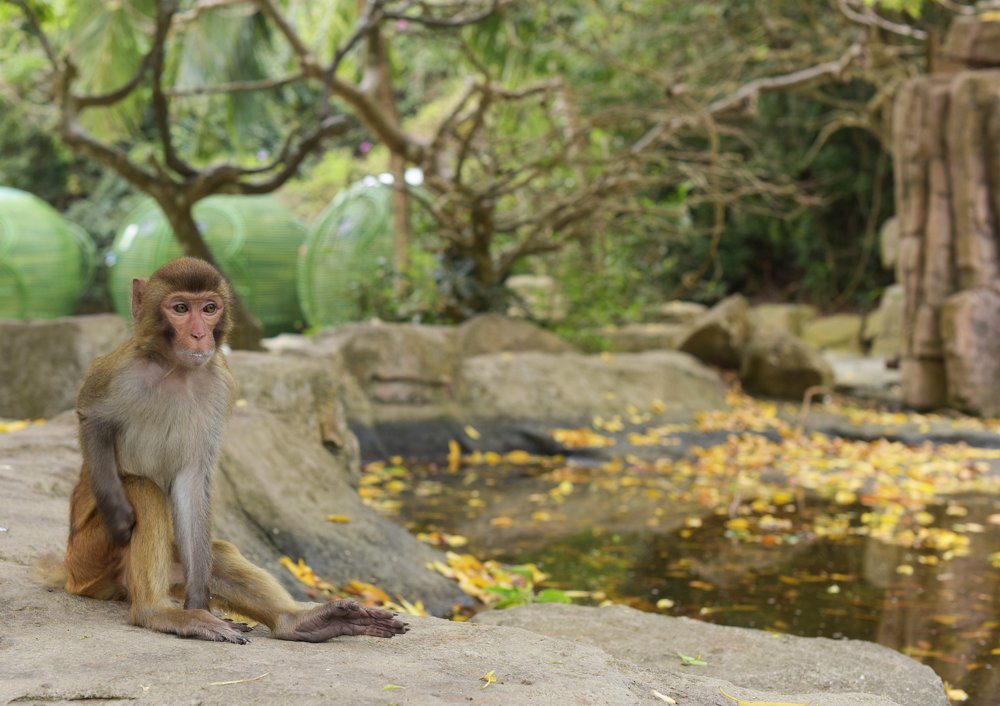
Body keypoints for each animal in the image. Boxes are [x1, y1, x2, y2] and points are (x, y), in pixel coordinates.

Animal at [57, 257, 407, 643]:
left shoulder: (219, 383)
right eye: (181, 309)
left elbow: (192, 481)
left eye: (209, 309)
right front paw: (118, 514)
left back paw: (300, 622)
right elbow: (91, 417)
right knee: (143, 489)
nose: (199, 335)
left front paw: (200, 603)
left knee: (218, 551)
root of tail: (71, 574)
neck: (176, 369)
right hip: (87, 559)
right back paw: (156, 613)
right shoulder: (122, 370)